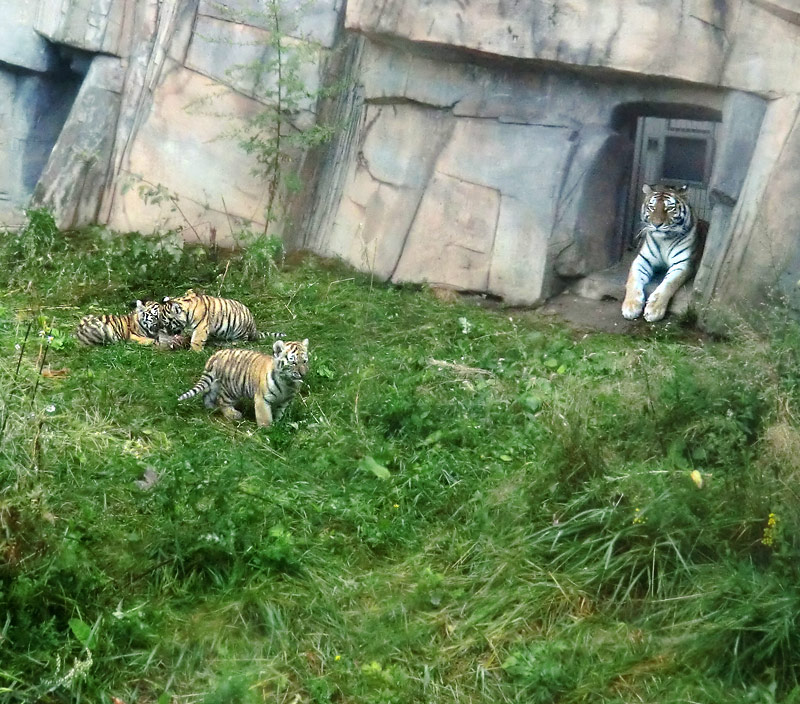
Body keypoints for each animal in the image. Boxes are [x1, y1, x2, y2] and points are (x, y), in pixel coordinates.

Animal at [178, 338, 310, 426]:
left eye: (304, 361)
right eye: (293, 362)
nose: (303, 374)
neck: (287, 382)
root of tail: (217, 354)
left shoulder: (285, 401)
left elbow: (280, 413)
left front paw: (279, 423)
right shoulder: (262, 399)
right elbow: (265, 418)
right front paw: (268, 431)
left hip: (215, 383)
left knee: (207, 396)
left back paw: (211, 408)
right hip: (232, 389)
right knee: (223, 401)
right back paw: (233, 414)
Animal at [620, 184, 700, 322]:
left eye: (669, 208)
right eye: (652, 207)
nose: (656, 224)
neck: (665, 240)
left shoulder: (682, 264)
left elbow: (669, 284)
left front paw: (654, 309)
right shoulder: (642, 260)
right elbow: (632, 281)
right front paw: (631, 306)